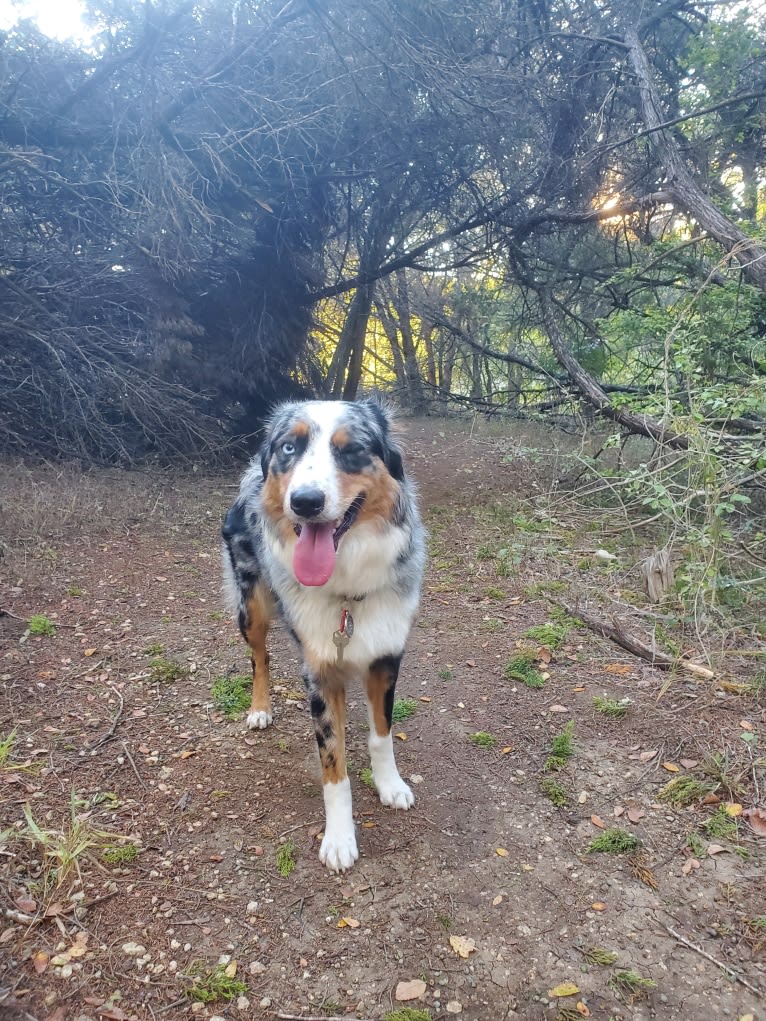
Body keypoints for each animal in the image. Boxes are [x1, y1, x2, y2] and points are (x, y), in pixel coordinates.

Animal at [221, 398, 426, 869]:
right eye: (289, 448)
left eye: (351, 450)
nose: (305, 502)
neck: (347, 583)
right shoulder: (320, 674)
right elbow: (333, 765)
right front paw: (339, 838)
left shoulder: (386, 658)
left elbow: (382, 735)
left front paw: (390, 785)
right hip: (251, 608)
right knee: (259, 657)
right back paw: (260, 708)